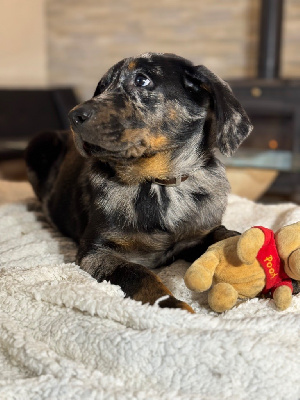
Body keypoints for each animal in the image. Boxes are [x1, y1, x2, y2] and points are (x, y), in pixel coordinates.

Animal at [24, 53, 252, 310]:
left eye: (141, 80)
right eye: (101, 88)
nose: (74, 117)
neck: (159, 182)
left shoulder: (202, 232)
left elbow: (229, 238)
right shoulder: (96, 252)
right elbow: (138, 274)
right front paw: (172, 305)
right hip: (40, 142)